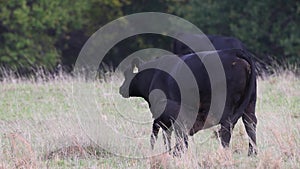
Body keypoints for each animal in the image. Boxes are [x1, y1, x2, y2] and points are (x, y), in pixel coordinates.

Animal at [119, 48, 258, 156]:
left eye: (126, 74)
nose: (121, 89)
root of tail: (233, 52)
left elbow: (163, 136)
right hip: (250, 103)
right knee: (250, 124)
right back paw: (252, 153)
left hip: (225, 107)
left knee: (227, 128)